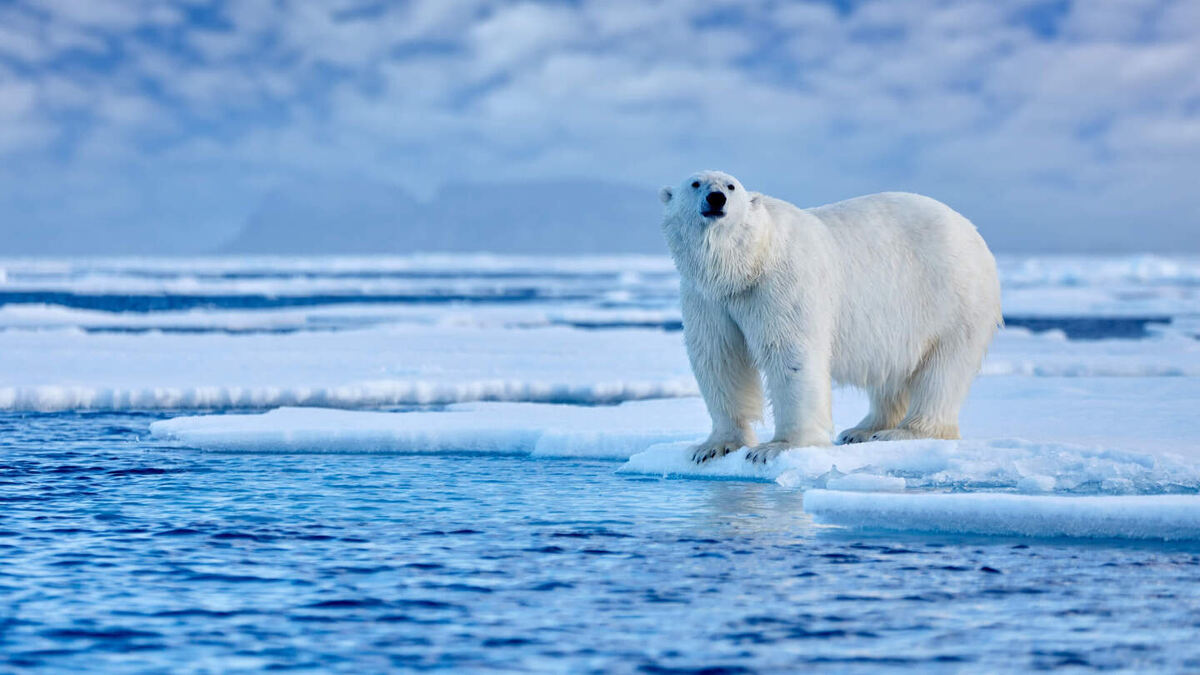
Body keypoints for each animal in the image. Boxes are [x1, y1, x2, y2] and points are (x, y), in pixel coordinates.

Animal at [659, 170, 1002, 464]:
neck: (748, 263)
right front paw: (714, 446)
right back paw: (863, 429)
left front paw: (775, 448)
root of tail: (973, 233)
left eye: (731, 186)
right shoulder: (708, 298)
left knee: (942, 371)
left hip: (952, 300)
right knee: (892, 371)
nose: (716, 198)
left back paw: (903, 431)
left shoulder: (782, 283)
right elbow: (720, 357)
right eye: (695, 183)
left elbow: (790, 354)